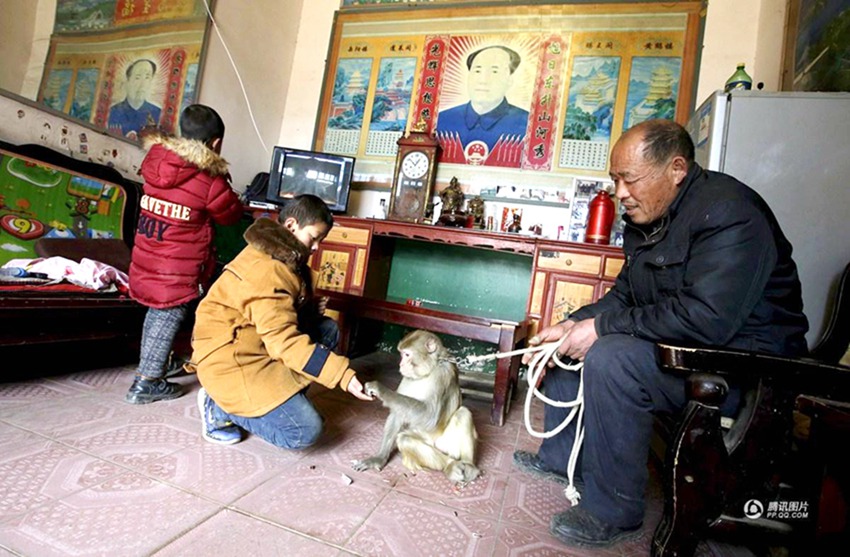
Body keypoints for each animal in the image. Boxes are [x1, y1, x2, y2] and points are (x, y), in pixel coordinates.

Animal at [350, 330, 476, 482]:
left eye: (407, 355)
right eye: (401, 354)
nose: (401, 364)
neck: (430, 370)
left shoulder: (444, 373)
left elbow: (431, 416)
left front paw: (380, 389)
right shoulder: (407, 376)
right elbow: (398, 413)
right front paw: (379, 458)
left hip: (447, 446)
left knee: (463, 413)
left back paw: (466, 466)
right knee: (406, 439)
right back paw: (449, 465)